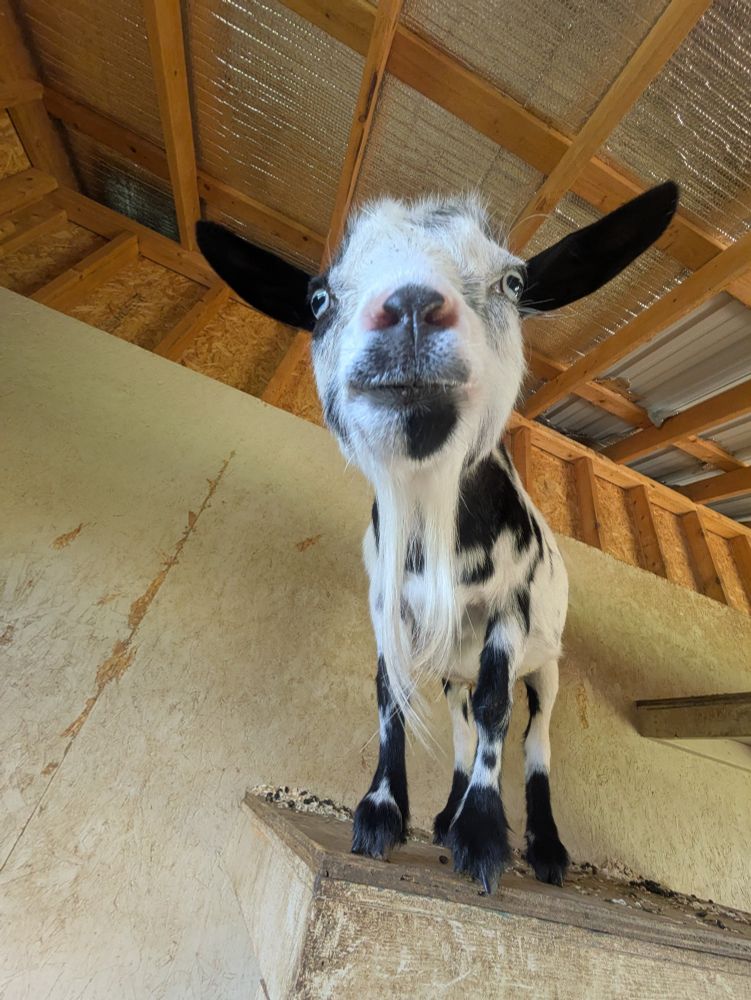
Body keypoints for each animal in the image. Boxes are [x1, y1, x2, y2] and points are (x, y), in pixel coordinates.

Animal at [197, 182, 678, 893]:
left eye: (513, 282)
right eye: (319, 299)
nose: (411, 311)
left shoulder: (510, 610)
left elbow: (498, 712)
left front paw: (482, 840)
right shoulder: (388, 610)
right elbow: (391, 698)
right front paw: (383, 817)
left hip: (549, 661)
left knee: (534, 734)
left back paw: (545, 849)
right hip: (455, 664)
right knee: (459, 723)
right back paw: (449, 817)